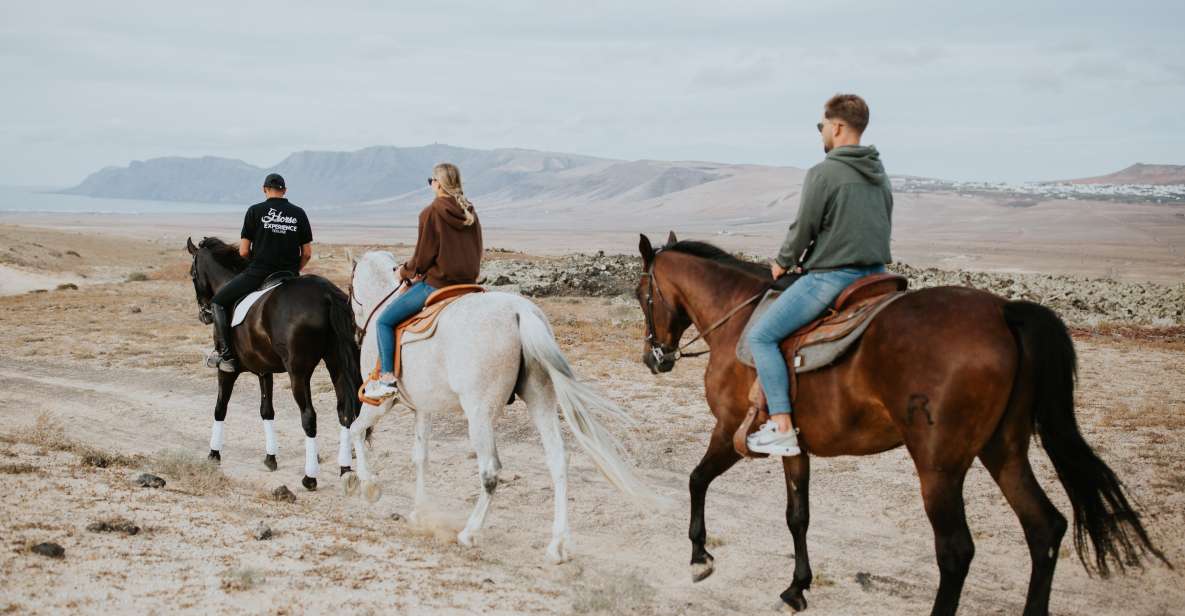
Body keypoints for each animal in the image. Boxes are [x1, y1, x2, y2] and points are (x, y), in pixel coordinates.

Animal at [343, 249, 658, 563]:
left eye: (349, 289)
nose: (355, 330)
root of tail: (520, 312)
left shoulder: (380, 404)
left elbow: (356, 430)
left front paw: (369, 486)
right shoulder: (423, 407)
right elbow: (420, 456)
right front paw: (419, 512)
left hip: (479, 415)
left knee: (490, 471)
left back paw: (470, 533)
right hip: (541, 400)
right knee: (558, 459)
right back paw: (557, 544)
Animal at [635, 233, 1161, 611]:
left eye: (642, 295)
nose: (654, 358)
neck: (737, 322)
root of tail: (1004, 311)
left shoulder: (730, 431)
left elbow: (696, 479)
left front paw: (699, 555)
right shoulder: (795, 447)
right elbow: (797, 516)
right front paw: (797, 587)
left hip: (939, 468)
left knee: (956, 552)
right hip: (1004, 451)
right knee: (1045, 528)